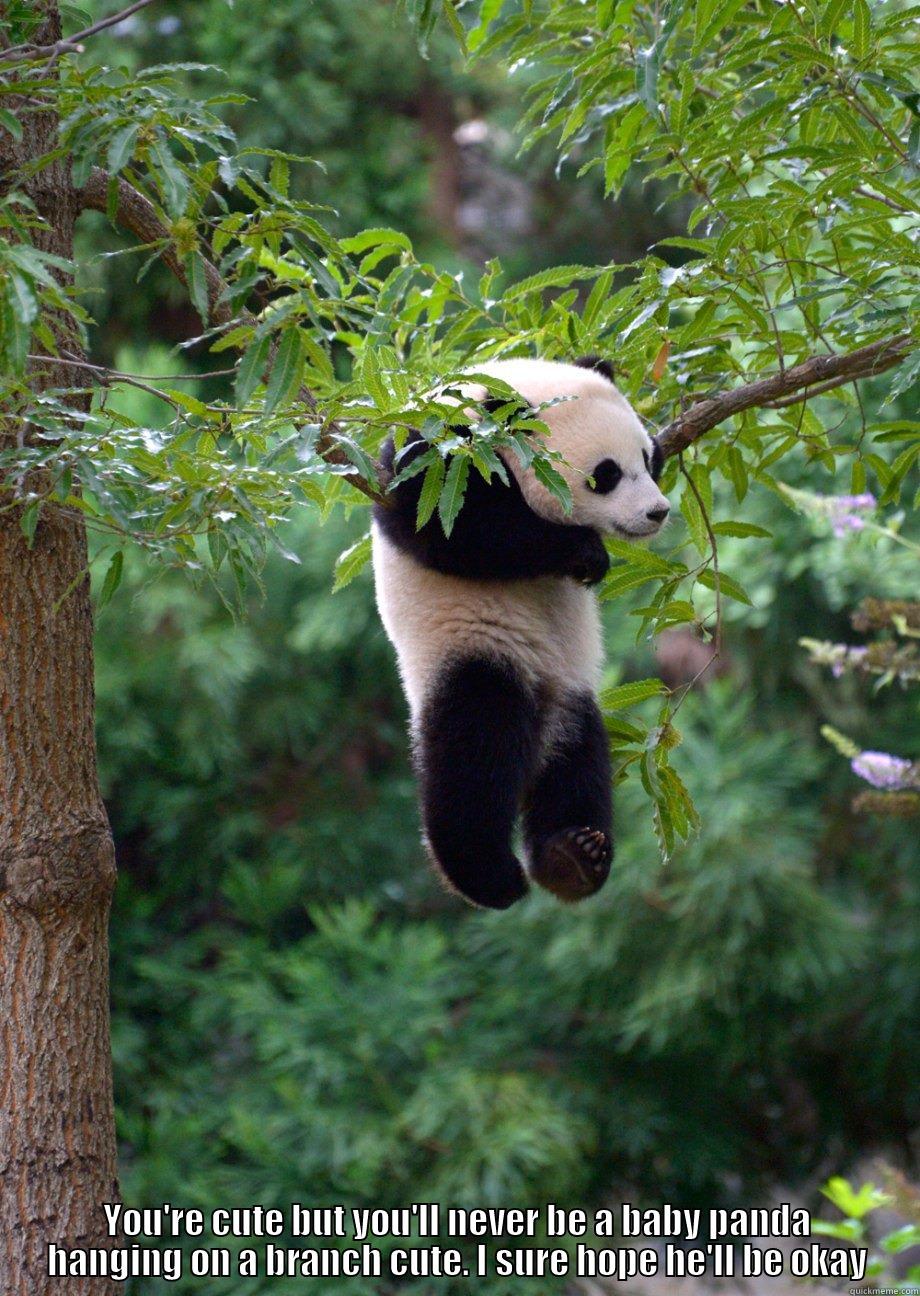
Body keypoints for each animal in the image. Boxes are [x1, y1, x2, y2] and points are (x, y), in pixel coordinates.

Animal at [373, 355, 668, 912]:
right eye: (606, 475)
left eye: (647, 457)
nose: (657, 512)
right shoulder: (436, 456)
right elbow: (452, 528)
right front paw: (583, 553)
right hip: (470, 648)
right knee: (474, 752)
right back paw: (489, 875)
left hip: (571, 690)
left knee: (577, 762)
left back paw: (572, 856)